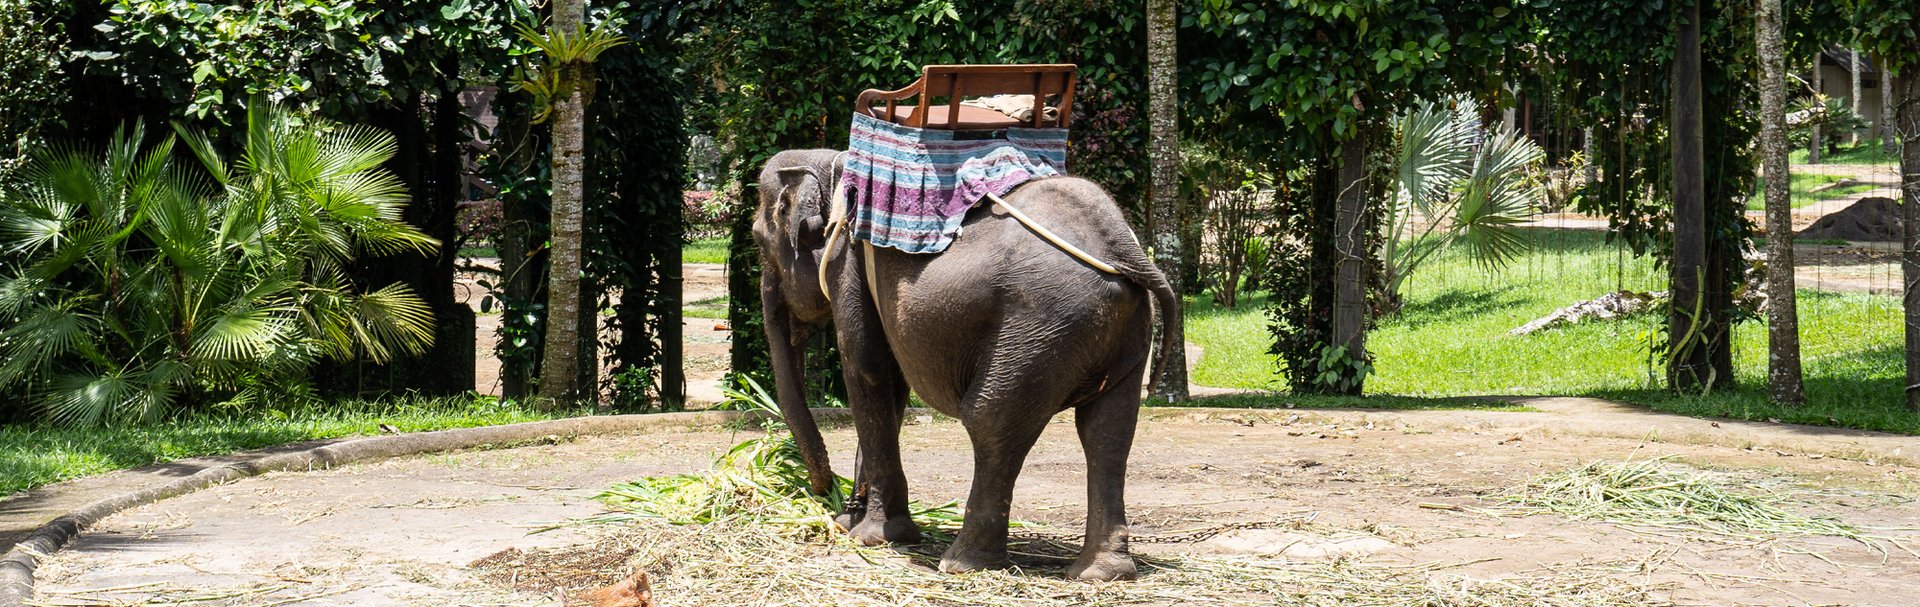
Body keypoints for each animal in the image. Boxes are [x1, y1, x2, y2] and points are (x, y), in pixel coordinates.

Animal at [752, 148, 1176, 581]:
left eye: (757, 238)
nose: (824, 494)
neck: (832, 167)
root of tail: (1123, 250)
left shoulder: (848, 263)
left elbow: (867, 367)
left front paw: (872, 537)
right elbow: (892, 386)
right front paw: (854, 526)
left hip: (1042, 324)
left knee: (991, 420)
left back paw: (962, 562)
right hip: (1119, 332)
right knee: (1108, 431)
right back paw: (1101, 573)